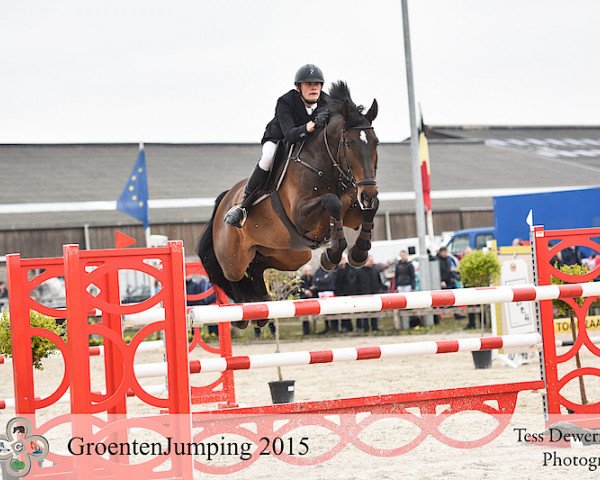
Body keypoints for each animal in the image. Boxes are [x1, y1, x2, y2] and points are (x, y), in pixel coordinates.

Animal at [200, 81, 380, 326]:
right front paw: (333, 255)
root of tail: (224, 202)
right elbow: (331, 202)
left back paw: (261, 305)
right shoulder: (302, 217)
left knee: (257, 266)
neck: (327, 166)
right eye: (349, 144)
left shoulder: (353, 212)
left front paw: (358, 253)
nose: (367, 193)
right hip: (233, 257)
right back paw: (241, 313)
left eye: (375, 143)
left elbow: (370, 209)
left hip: (289, 255)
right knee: (231, 276)